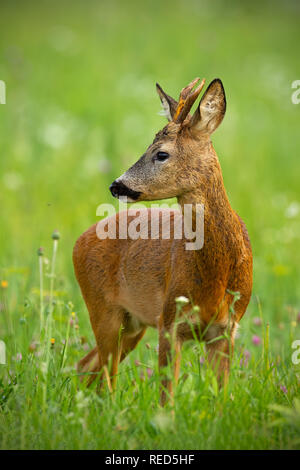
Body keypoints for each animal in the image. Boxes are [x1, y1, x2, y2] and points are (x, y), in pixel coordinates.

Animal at [73, 76, 253, 404]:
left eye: (161, 153)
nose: (116, 185)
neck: (218, 273)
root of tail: (80, 239)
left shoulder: (227, 328)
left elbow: (221, 395)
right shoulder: (169, 320)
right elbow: (166, 395)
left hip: (132, 324)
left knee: (87, 366)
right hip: (103, 308)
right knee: (105, 375)